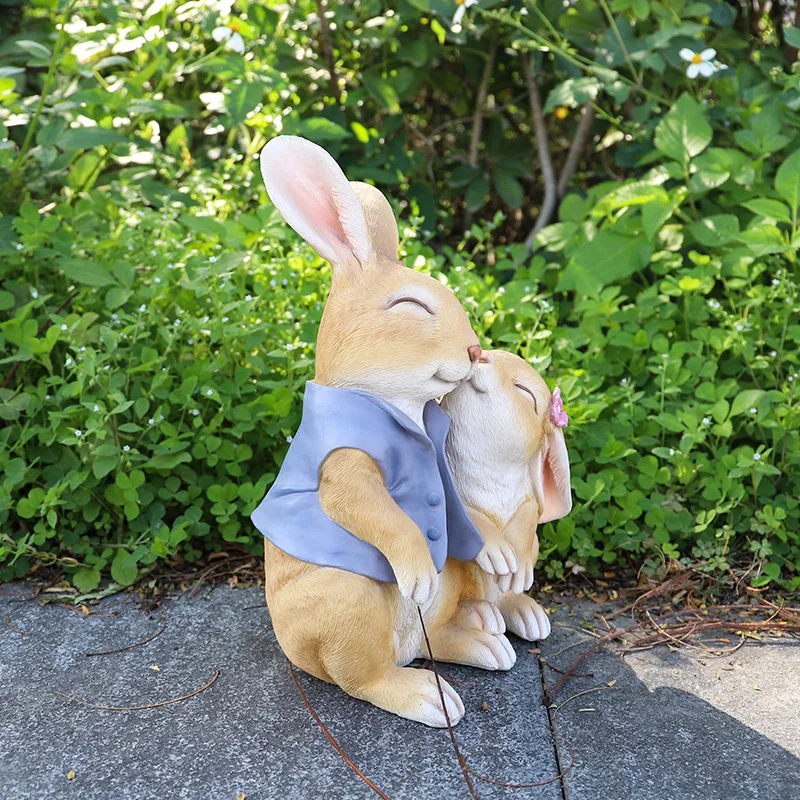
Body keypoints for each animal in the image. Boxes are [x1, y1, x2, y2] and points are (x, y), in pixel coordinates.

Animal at [256, 134, 520, 728]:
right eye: (411, 306)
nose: (475, 350)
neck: (406, 410)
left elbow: (461, 507)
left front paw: (498, 554)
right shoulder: (345, 463)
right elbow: (368, 506)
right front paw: (417, 570)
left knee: (430, 640)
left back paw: (483, 643)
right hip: (349, 599)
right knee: (362, 676)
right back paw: (428, 696)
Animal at [440, 354, 572, 640]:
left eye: (524, 392)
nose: (482, 355)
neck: (489, 466)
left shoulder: (529, 499)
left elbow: (528, 515)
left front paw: (517, 570)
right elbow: (469, 516)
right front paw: (498, 555)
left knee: (504, 597)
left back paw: (528, 615)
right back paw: (482, 619)